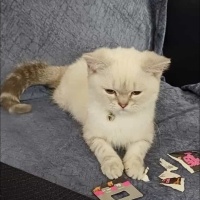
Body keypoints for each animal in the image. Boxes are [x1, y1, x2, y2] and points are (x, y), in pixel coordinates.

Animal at [0, 47, 170, 180]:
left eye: (136, 93)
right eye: (110, 91)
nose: (123, 104)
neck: (121, 119)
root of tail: (69, 67)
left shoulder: (145, 136)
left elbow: (137, 151)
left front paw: (135, 168)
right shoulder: (92, 134)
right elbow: (105, 150)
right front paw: (113, 166)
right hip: (63, 98)